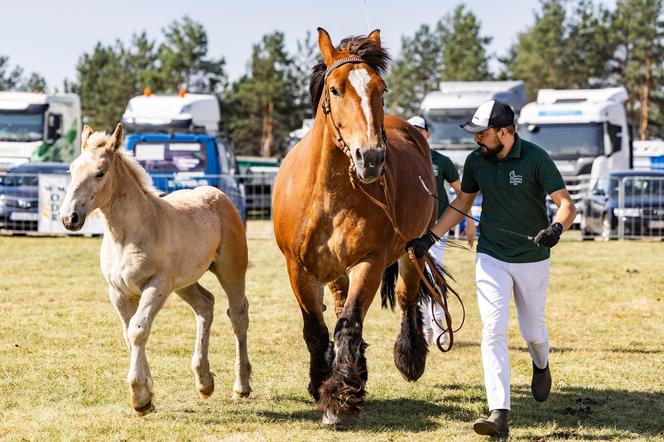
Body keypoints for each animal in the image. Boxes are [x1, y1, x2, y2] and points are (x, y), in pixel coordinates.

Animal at [61, 123, 252, 414]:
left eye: (100, 172)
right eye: (71, 169)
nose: (69, 217)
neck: (129, 234)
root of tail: (220, 195)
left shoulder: (157, 285)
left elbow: (138, 330)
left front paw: (140, 397)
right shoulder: (118, 292)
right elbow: (129, 334)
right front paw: (148, 394)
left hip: (231, 270)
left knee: (238, 314)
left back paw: (241, 386)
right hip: (185, 282)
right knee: (205, 305)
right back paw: (204, 382)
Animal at [272, 26, 448, 424]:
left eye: (380, 88)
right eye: (335, 89)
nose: (371, 158)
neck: (327, 194)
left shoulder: (368, 262)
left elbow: (350, 325)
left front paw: (339, 397)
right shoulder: (298, 268)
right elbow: (316, 330)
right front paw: (321, 382)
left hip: (413, 251)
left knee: (406, 296)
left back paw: (409, 356)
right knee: (338, 308)